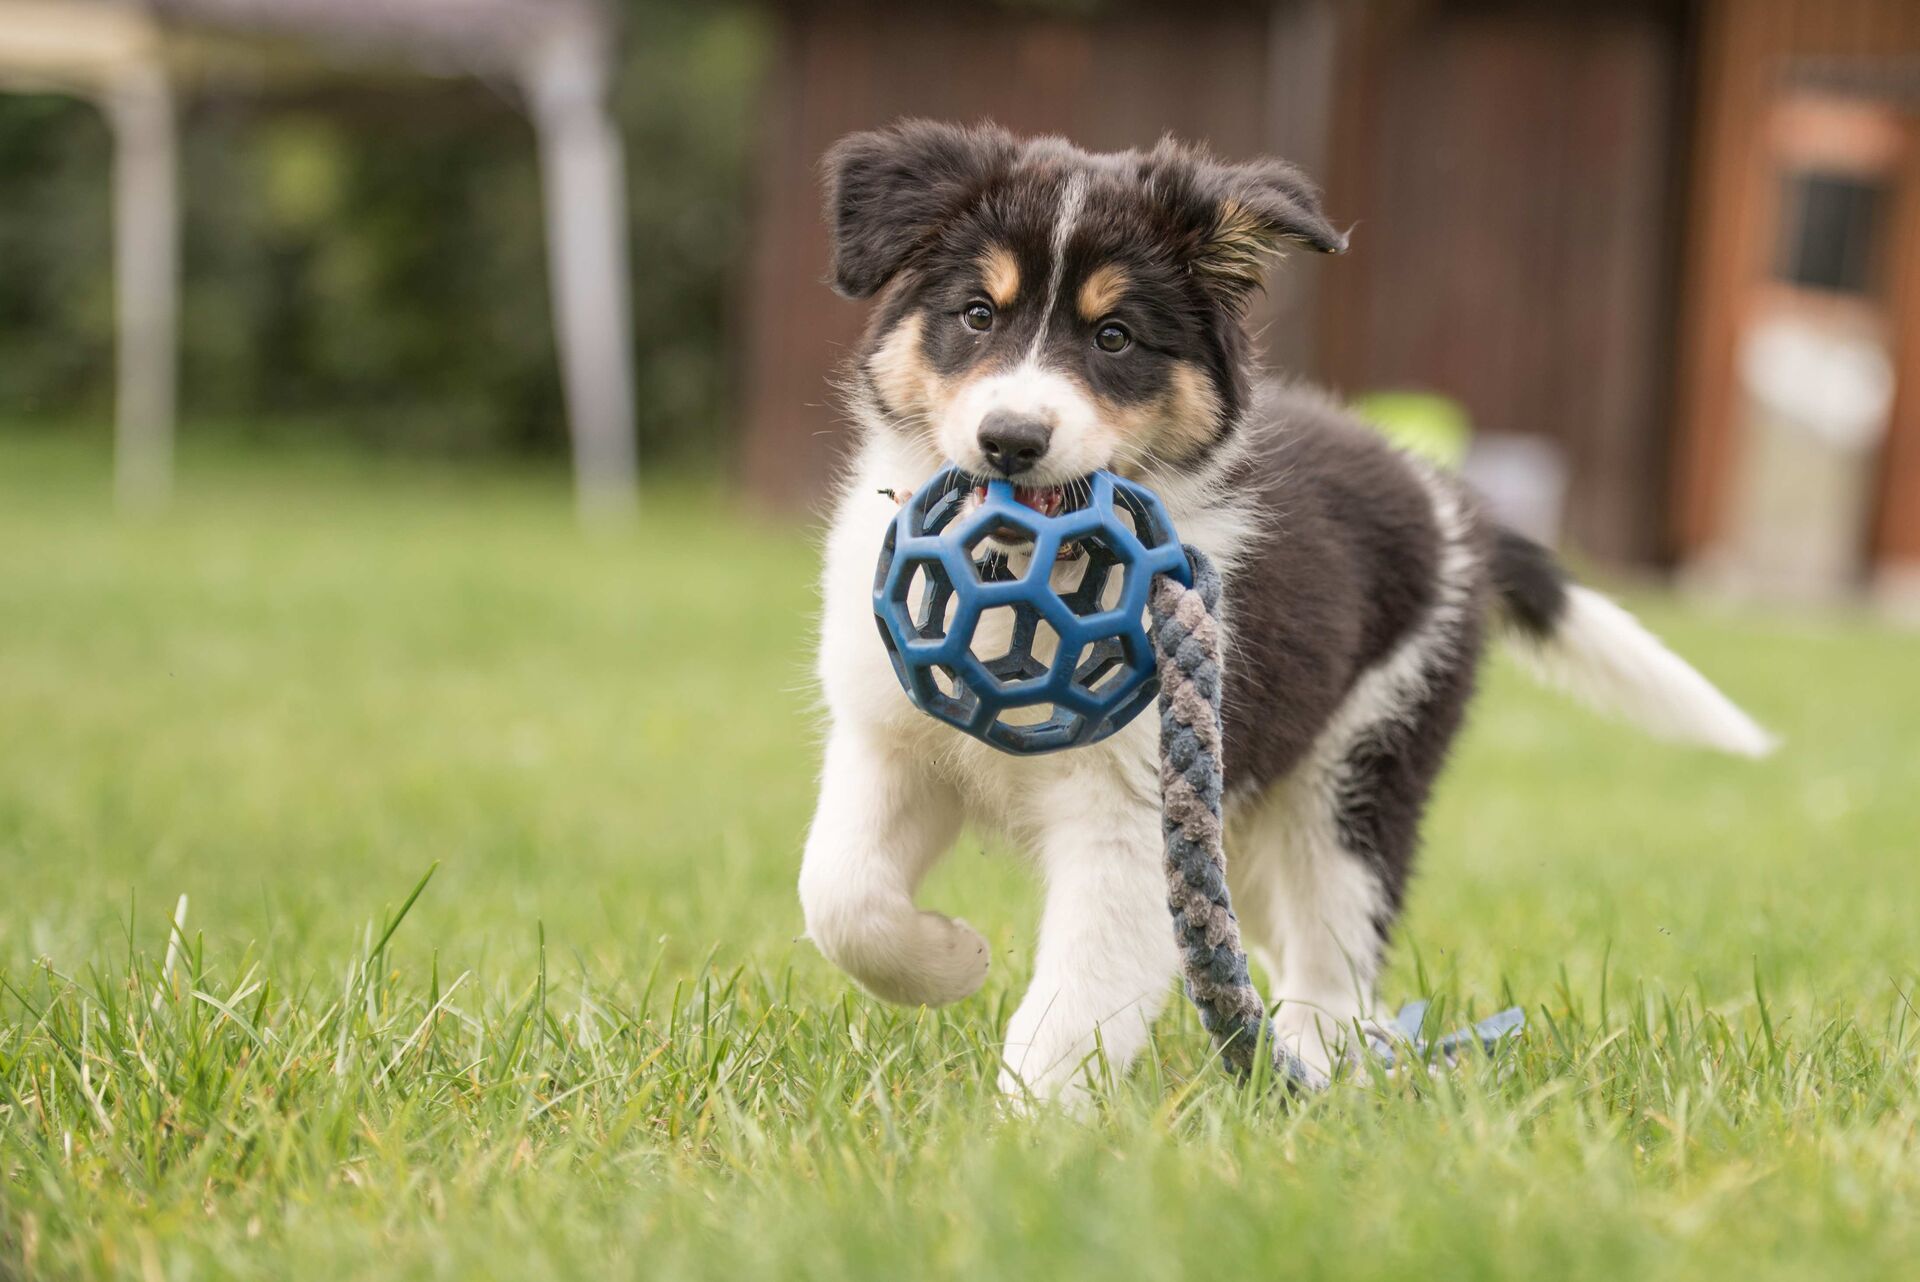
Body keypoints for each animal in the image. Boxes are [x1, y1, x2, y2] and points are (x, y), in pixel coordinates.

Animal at [794, 119, 1766, 1105]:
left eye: (1115, 336)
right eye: (977, 316)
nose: (1011, 441)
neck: (1027, 574)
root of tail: (1453, 506)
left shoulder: (1129, 811)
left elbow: (1074, 1001)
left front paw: (1029, 1123)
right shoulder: (889, 737)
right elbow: (839, 893)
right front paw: (953, 961)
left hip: (1360, 768)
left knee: (1335, 951)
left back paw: (1315, 1066)